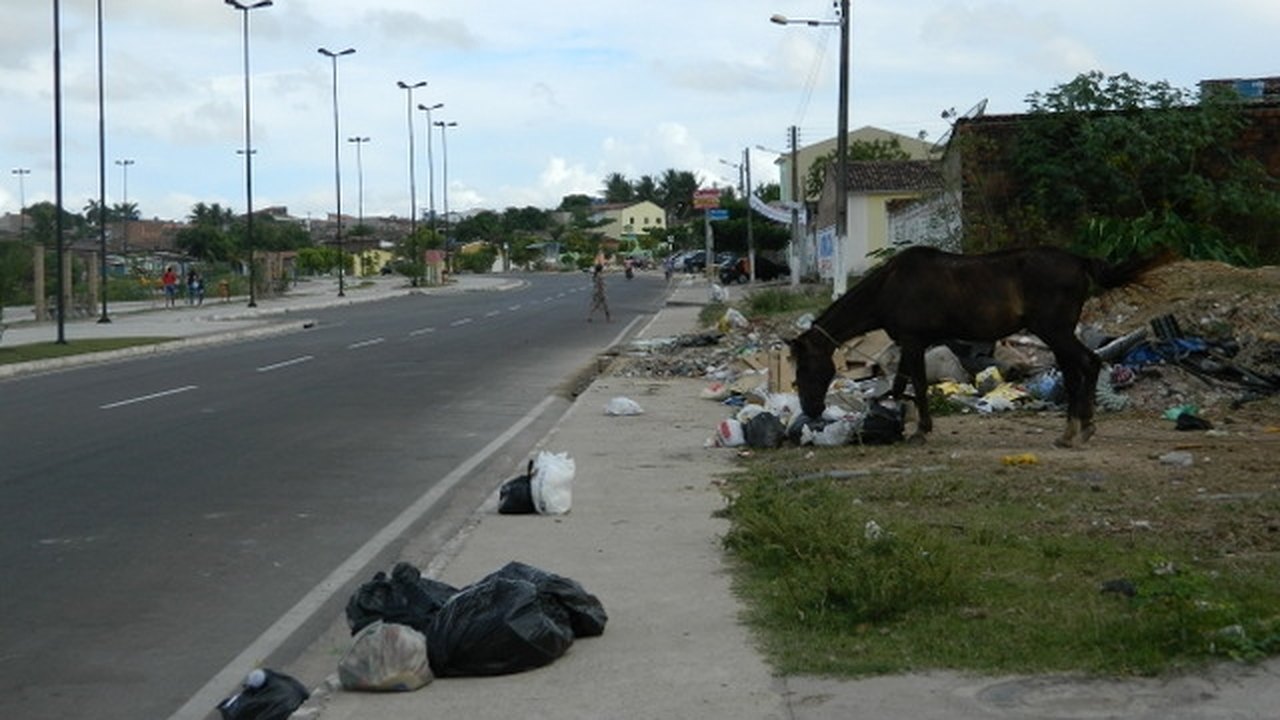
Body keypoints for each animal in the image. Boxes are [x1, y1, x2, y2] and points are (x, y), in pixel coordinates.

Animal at [788, 245, 1172, 448]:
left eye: (804, 368)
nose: (811, 409)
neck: (890, 286)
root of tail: (1078, 260)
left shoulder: (913, 342)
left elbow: (917, 385)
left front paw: (919, 430)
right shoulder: (910, 344)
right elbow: (900, 385)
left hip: (1055, 331)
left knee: (1087, 364)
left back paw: (1077, 430)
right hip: (1058, 333)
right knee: (1078, 368)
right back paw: (1076, 429)